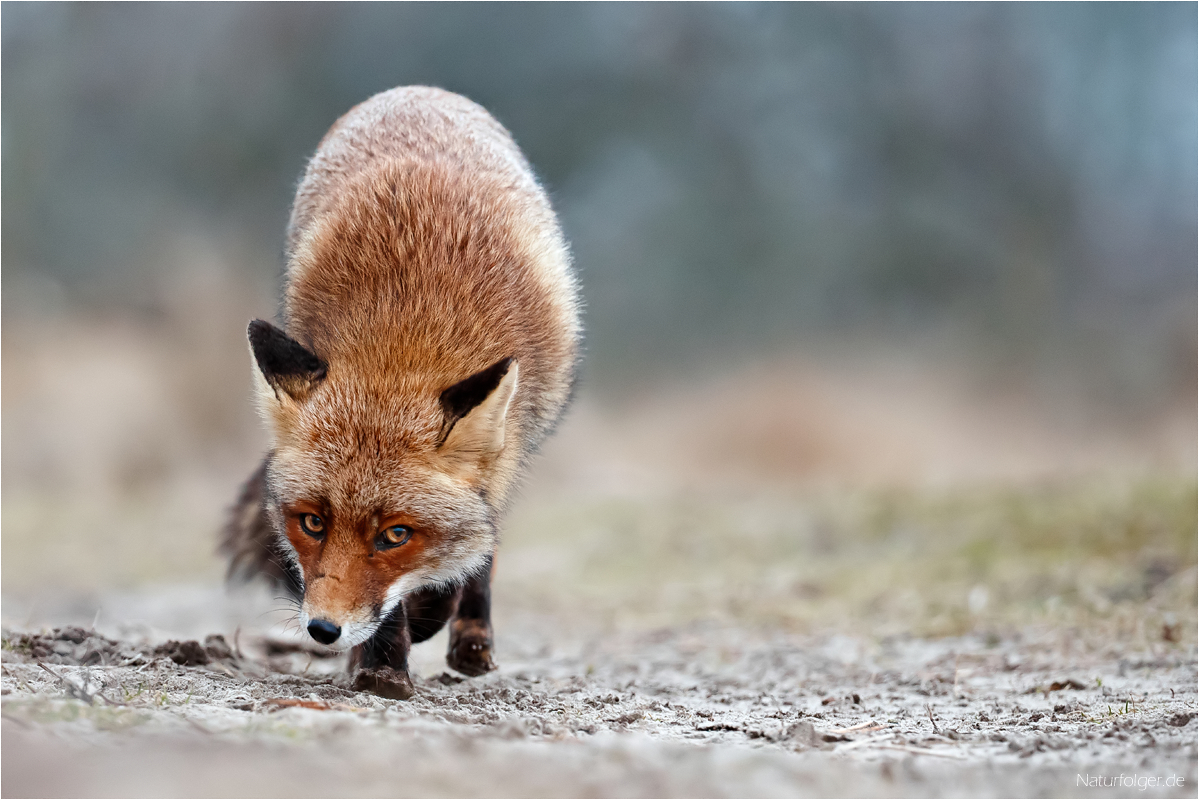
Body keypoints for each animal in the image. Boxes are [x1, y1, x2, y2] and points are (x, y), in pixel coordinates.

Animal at [225, 87, 585, 695]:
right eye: (312, 523)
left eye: (395, 534)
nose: (322, 629)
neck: (408, 339)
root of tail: (418, 91)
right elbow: (395, 607)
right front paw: (383, 663)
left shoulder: (506, 449)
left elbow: (468, 554)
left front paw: (433, 623)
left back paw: (470, 638)